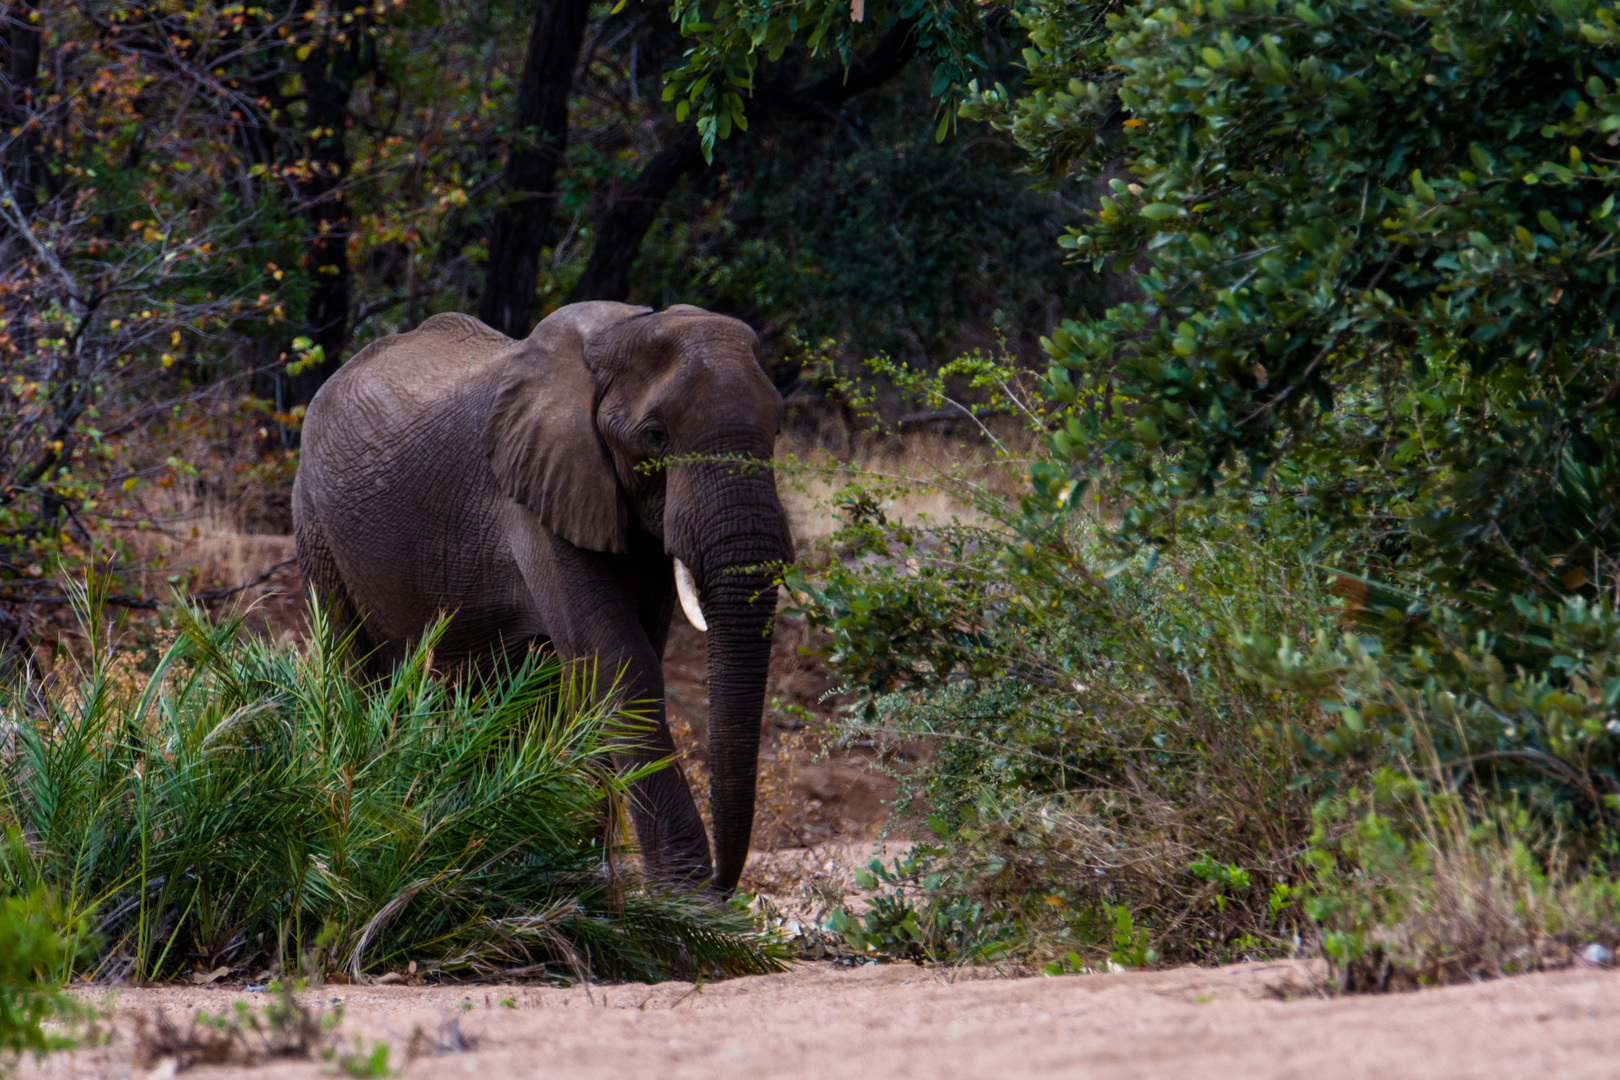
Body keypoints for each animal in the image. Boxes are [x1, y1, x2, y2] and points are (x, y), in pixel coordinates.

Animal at [296, 302, 797, 893]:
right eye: (655, 436)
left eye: (779, 425)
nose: (723, 881)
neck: (623, 331)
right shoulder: (533, 496)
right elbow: (621, 663)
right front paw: (687, 901)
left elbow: (614, 664)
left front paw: (585, 874)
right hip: (314, 522)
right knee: (357, 671)